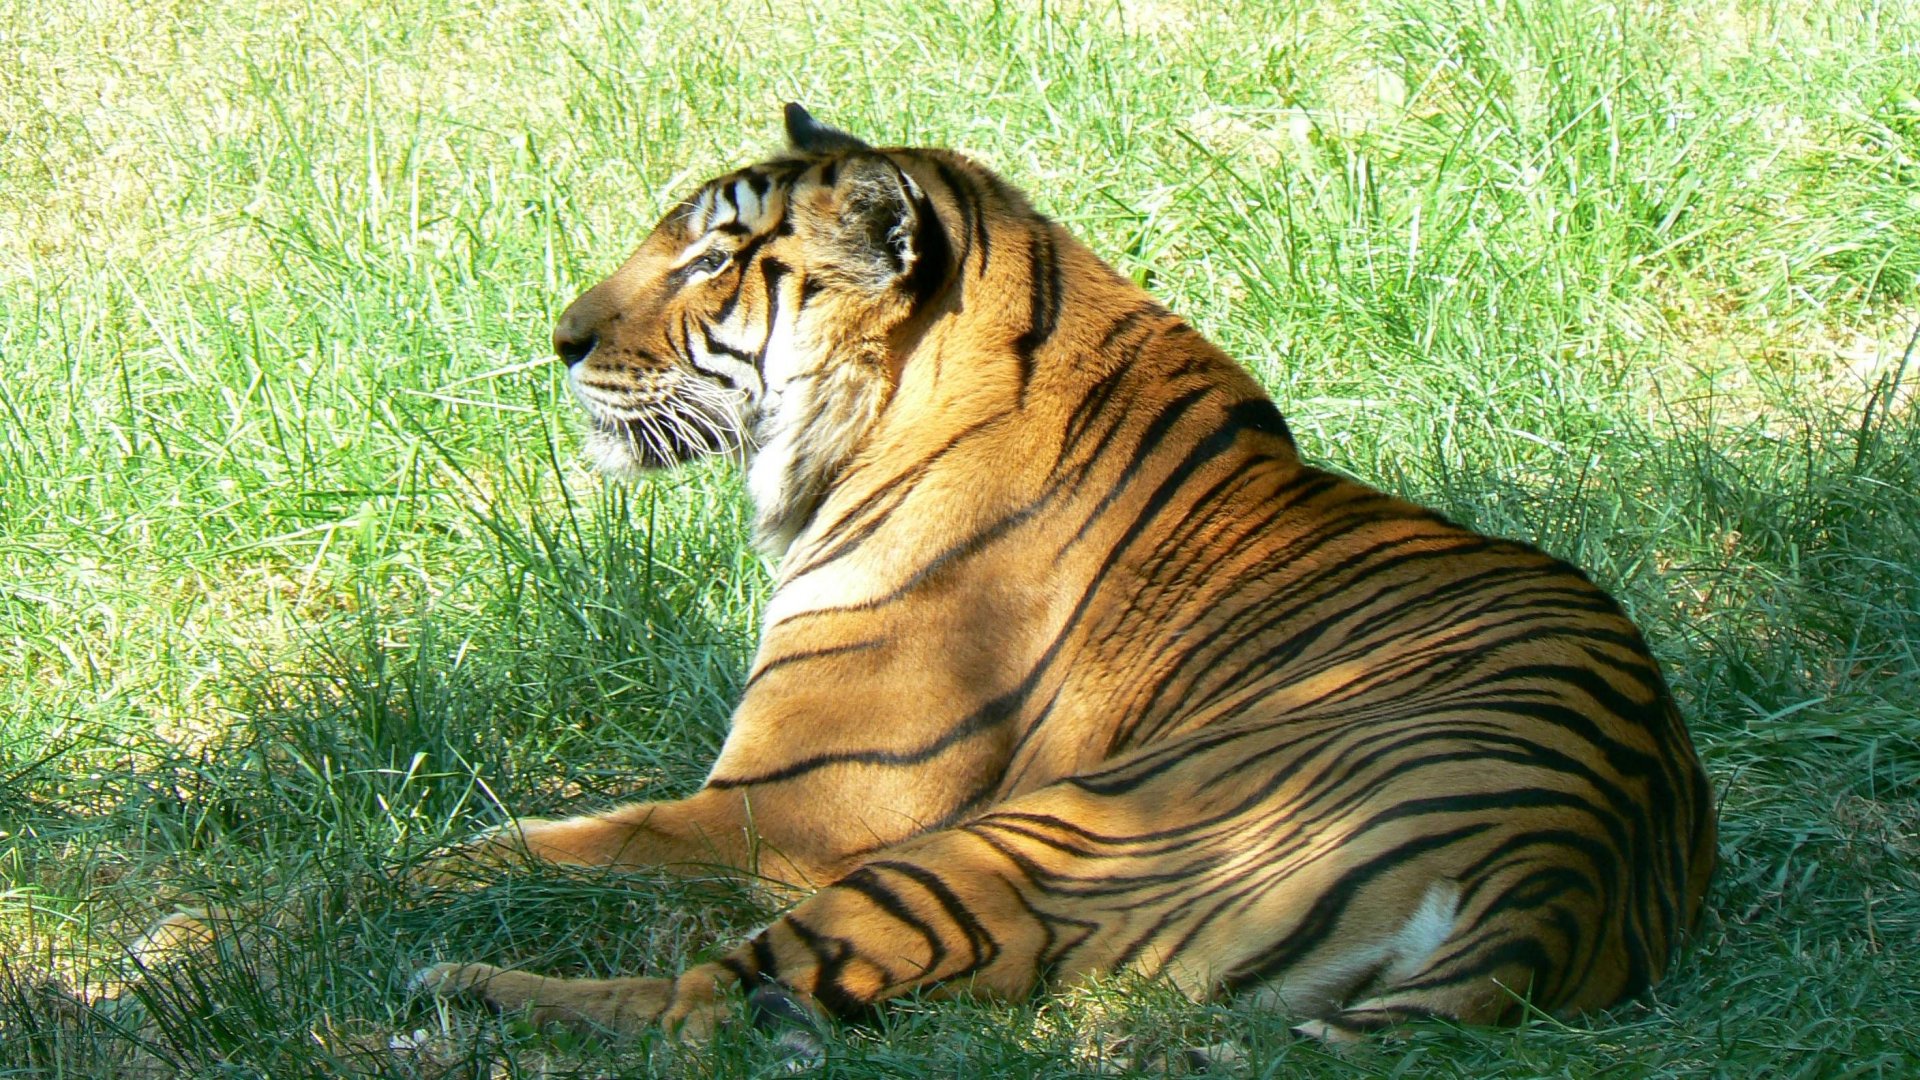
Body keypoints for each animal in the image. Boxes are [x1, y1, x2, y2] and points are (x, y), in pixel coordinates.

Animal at [412, 100, 1720, 1045]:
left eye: (714, 261)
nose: (560, 338)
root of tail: (1567, 881)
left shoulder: (799, 802)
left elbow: (539, 841)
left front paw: (400, 871)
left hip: (1037, 832)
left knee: (703, 1013)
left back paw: (461, 988)